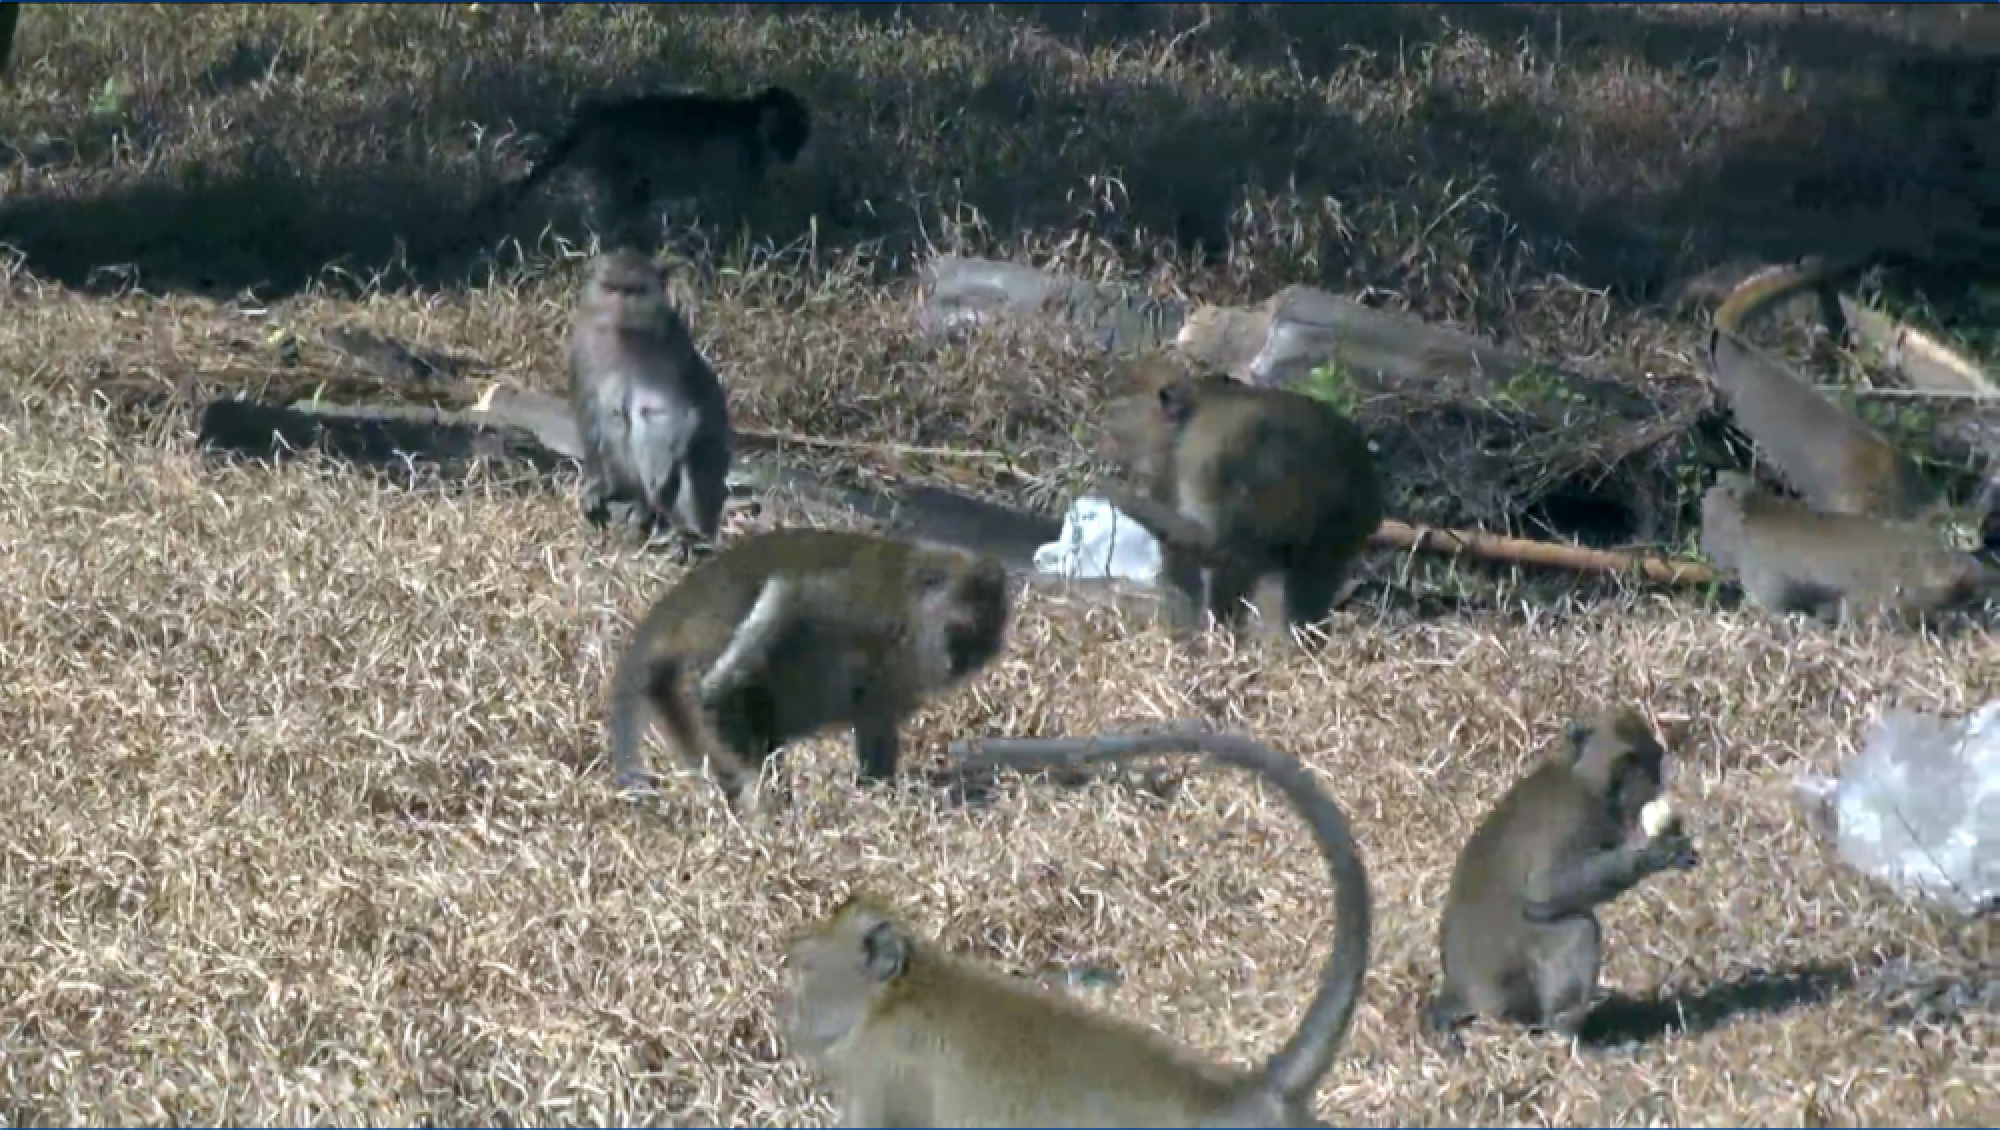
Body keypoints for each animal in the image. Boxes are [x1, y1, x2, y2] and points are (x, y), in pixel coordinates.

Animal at [489, 84, 811, 248]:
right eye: (791, 133)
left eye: (801, 135)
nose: (795, 152)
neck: (752, 120)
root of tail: (595, 119)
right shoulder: (736, 178)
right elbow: (729, 219)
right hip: (613, 177)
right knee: (607, 219)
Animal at [568, 248, 733, 548]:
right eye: (611, 288)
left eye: (634, 290)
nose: (619, 306)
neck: (624, 336)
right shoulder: (582, 346)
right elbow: (588, 409)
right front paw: (595, 484)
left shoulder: (672, 344)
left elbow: (692, 409)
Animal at [604, 528, 1012, 813]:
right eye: (959, 635)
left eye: (978, 648)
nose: (956, 665)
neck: (910, 620)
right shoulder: (867, 607)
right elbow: (792, 598)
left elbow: (876, 721)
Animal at [1423, 707, 1699, 1051]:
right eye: (1636, 764)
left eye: (1646, 763)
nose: (1653, 784)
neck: (1583, 778)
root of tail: (1459, 989)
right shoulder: (1580, 819)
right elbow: (1543, 892)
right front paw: (1655, 853)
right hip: (1506, 992)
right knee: (1579, 930)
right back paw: (1569, 1037)